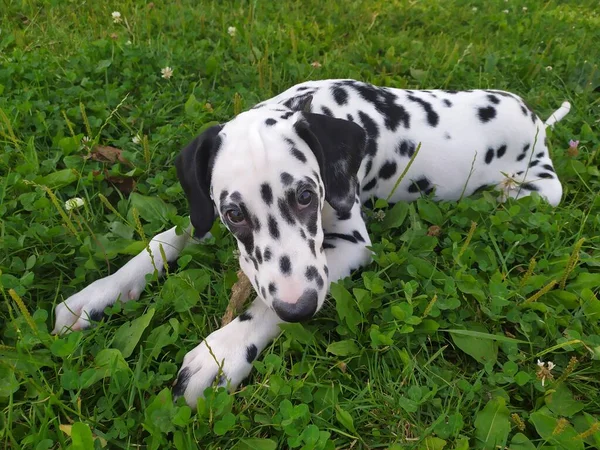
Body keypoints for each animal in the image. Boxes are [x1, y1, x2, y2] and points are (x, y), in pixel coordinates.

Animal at [52, 79, 572, 406]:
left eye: (306, 195)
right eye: (233, 213)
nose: (298, 309)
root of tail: (538, 121)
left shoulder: (349, 246)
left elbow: (261, 308)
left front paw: (221, 354)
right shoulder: (205, 218)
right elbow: (166, 238)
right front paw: (97, 295)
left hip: (540, 185)